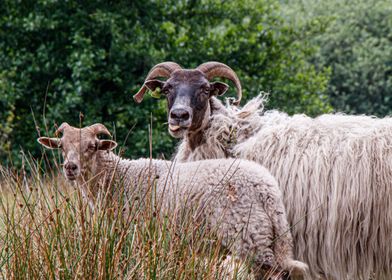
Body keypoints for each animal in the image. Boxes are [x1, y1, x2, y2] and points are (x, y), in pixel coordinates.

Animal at [36, 122, 310, 280]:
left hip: (250, 237)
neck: (119, 179)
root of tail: (267, 189)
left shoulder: (136, 238)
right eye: (61, 146)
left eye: (93, 146)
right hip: (268, 238)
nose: (70, 168)